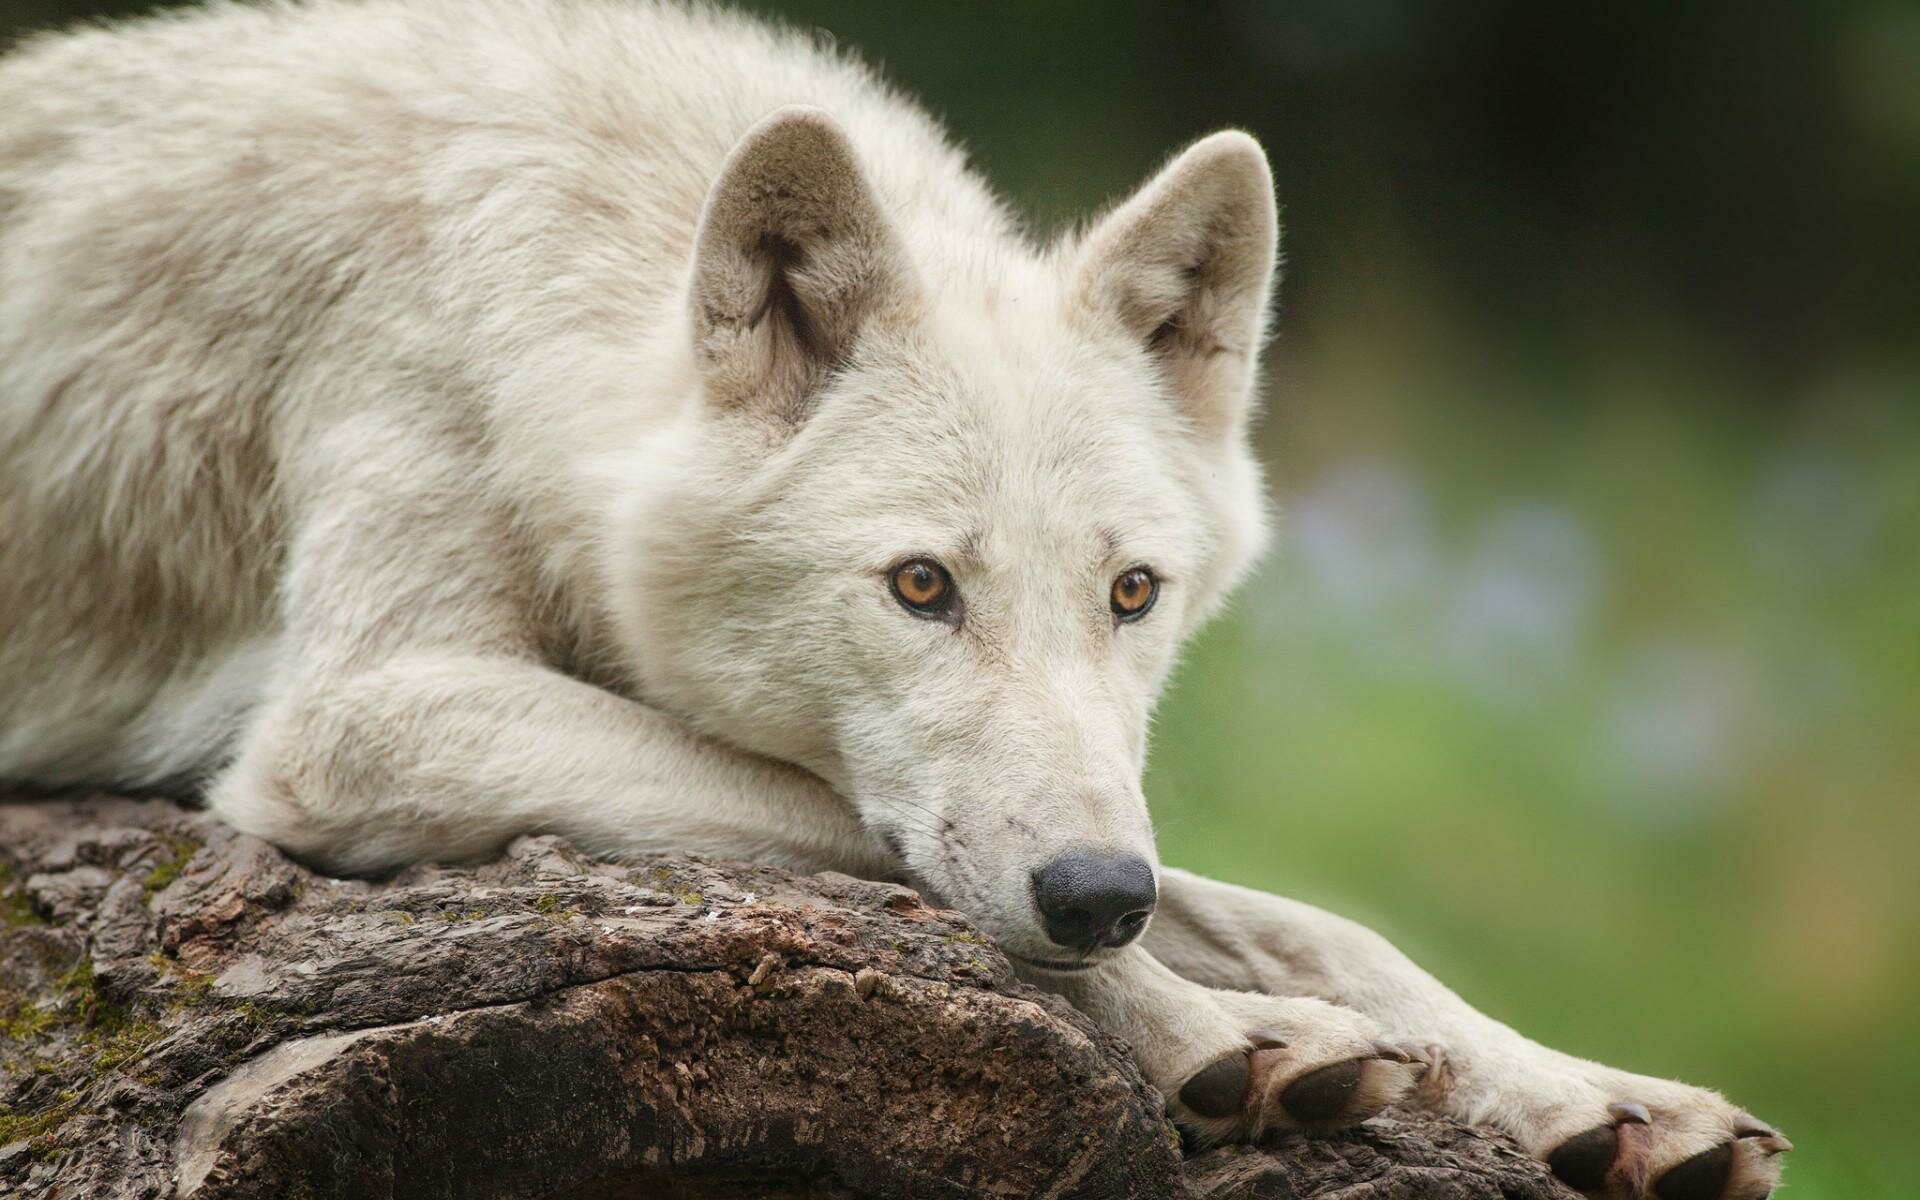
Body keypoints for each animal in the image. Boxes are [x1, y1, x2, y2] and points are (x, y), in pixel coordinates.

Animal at [0, 2, 1781, 1190]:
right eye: (922, 587)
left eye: (1134, 592)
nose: (1098, 897)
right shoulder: (355, 718)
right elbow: (865, 837)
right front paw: (1214, 1033)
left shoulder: (1114, 816)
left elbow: (1307, 917)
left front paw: (1587, 1095)